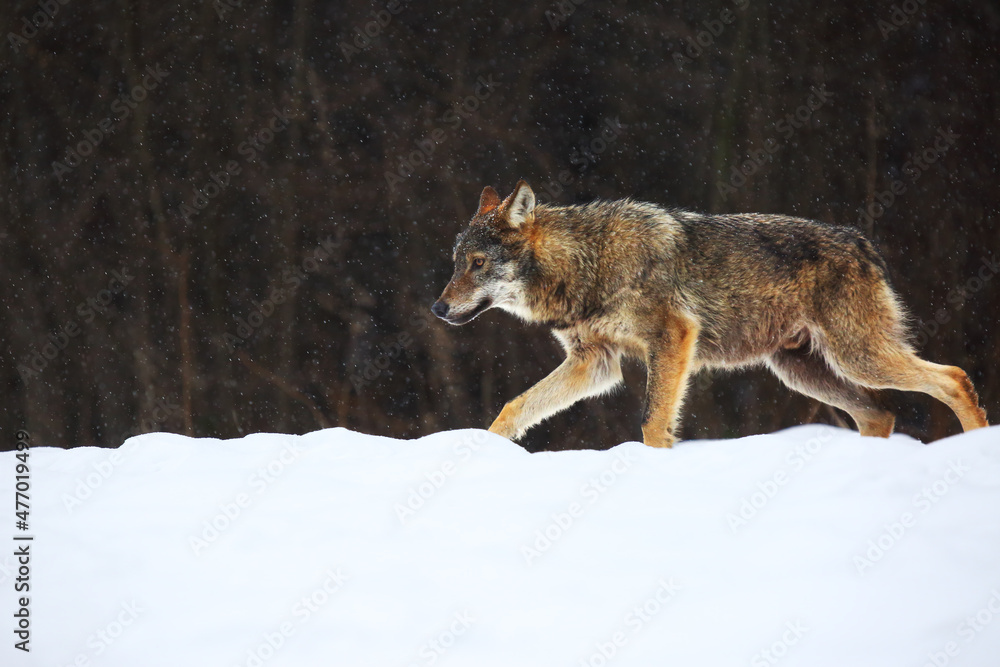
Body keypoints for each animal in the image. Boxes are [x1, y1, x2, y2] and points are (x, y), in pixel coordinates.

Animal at [431, 180, 988, 447]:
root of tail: (862, 242)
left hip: (858, 358)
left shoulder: (673, 337)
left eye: (477, 264)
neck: (587, 263)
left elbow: (653, 422)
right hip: (804, 372)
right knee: (881, 414)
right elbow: (513, 408)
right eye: (456, 262)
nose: (438, 307)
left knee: (954, 378)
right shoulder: (595, 363)